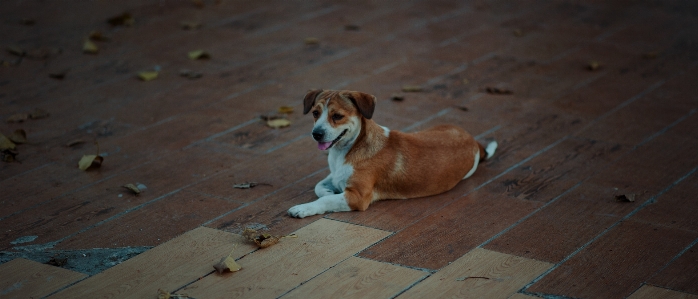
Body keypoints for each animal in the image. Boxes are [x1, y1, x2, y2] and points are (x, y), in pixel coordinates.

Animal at [284, 90, 494, 219]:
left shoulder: (358, 197)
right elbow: (320, 187)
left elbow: (325, 200)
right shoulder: (335, 176)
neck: (351, 147)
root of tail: (473, 141)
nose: (316, 134)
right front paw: (327, 191)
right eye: (315, 113)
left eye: (337, 116)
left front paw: (304, 208)